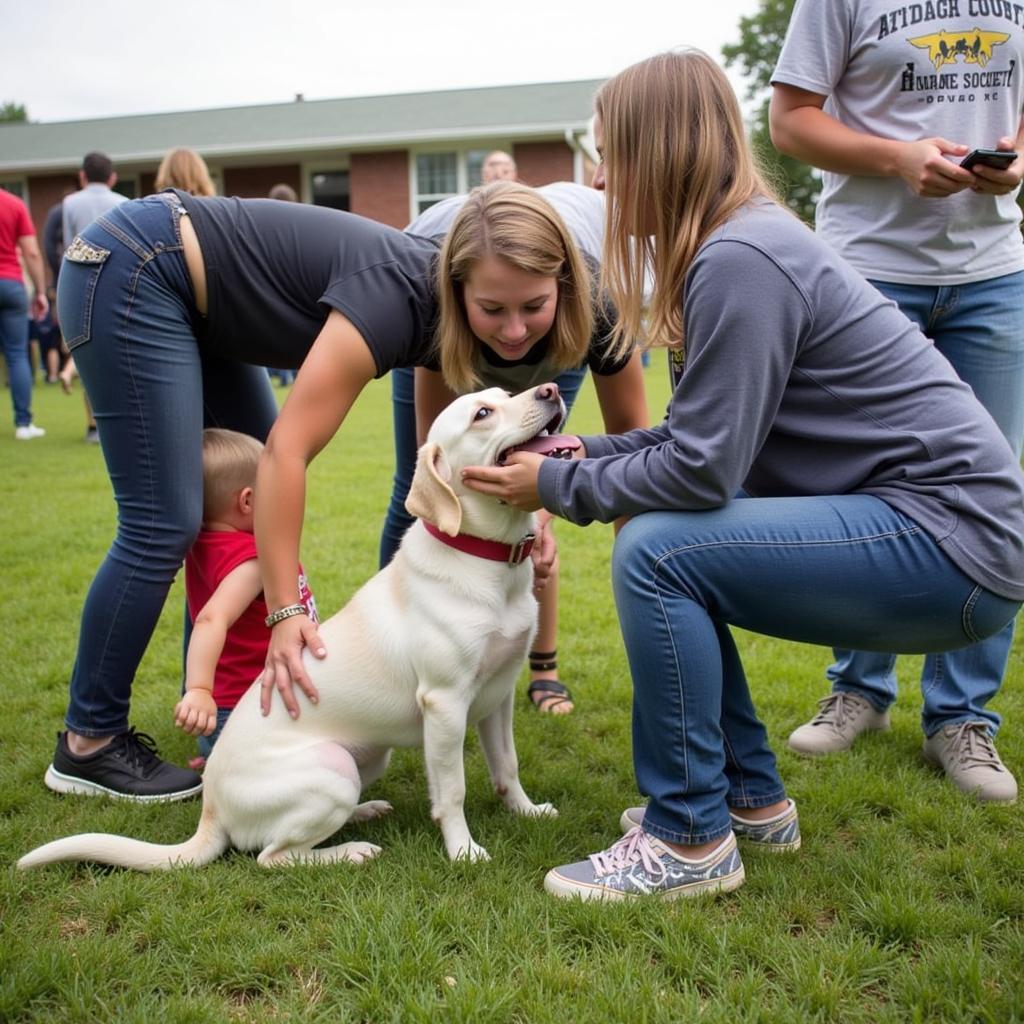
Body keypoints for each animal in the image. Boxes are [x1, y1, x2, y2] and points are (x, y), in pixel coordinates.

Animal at [19, 385, 577, 872]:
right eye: (482, 414)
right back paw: (350, 851)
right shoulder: (444, 704)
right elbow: (453, 790)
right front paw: (463, 850)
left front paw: (526, 811)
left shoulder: (498, 693)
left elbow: (507, 766)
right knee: (272, 857)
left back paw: (363, 814)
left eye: (505, 394)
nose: (550, 388)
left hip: (367, 759)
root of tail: (211, 808)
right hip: (334, 769)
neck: (489, 561)